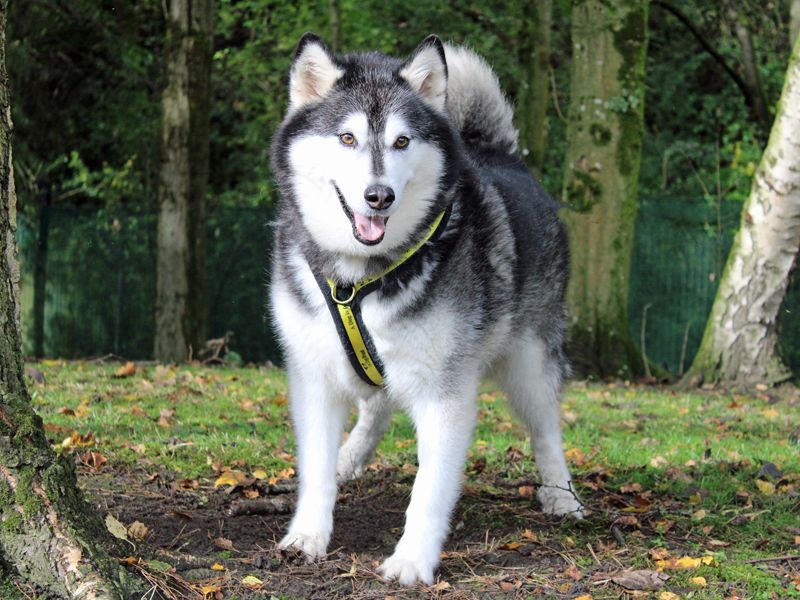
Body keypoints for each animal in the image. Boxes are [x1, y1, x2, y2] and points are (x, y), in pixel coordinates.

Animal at [268, 32, 580, 584]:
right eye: (346, 139)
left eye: (402, 142)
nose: (379, 196)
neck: (361, 277)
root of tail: (501, 154)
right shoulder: (315, 378)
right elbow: (316, 470)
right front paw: (307, 535)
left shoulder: (443, 392)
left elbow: (429, 490)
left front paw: (412, 560)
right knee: (377, 404)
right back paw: (351, 455)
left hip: (529, 360)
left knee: (545, 428)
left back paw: (561, 495)